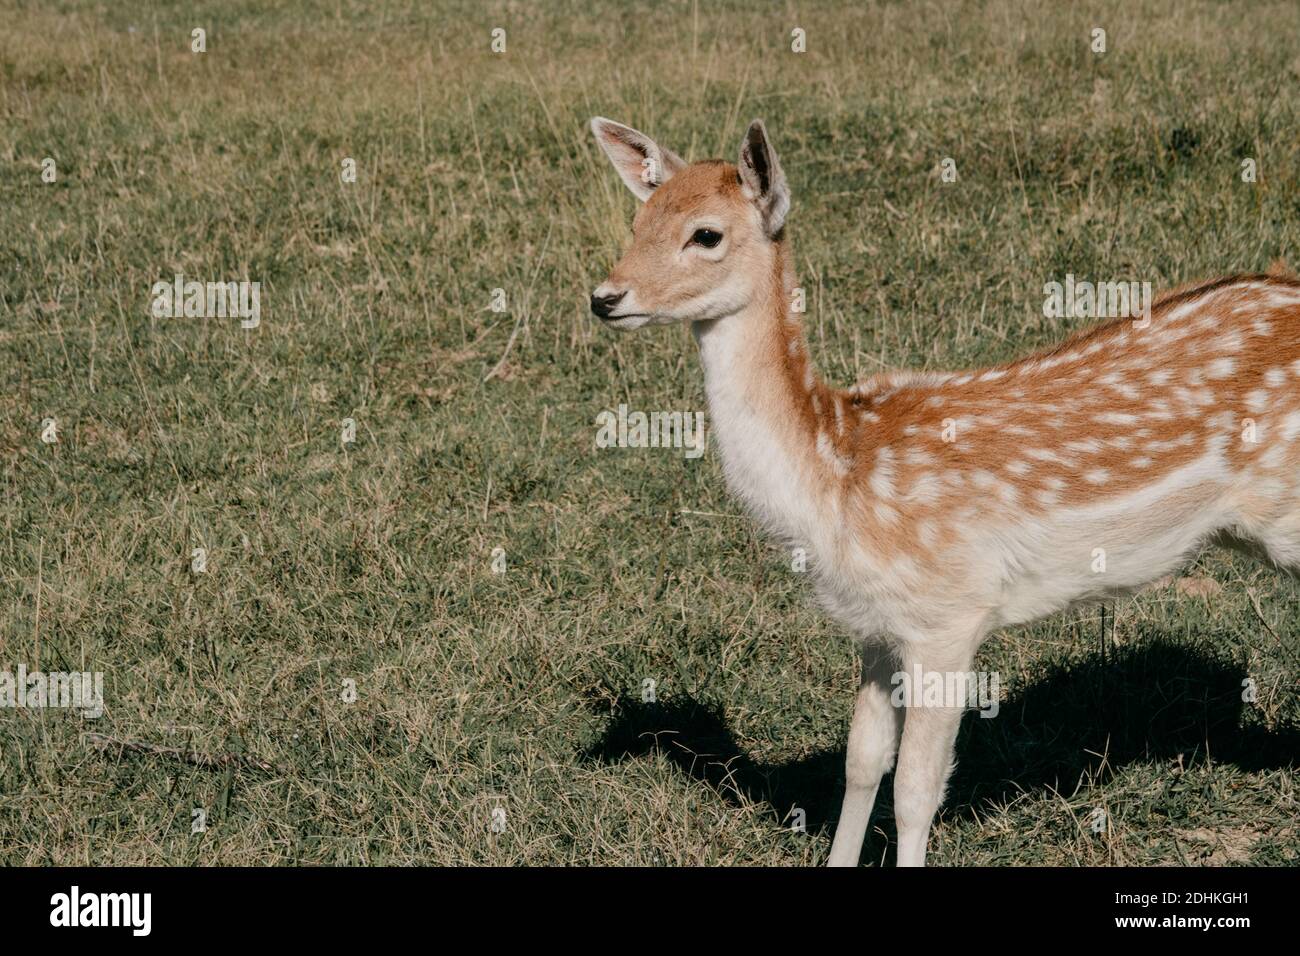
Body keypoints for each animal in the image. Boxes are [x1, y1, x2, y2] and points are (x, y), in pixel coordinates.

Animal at [587, 117, 1300, 868]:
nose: (605, 297)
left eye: (706, 234)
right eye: (638, 221)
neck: (835, 477)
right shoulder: (875, 627)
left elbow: (916, 790)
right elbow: (862, 763)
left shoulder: (949, 614)